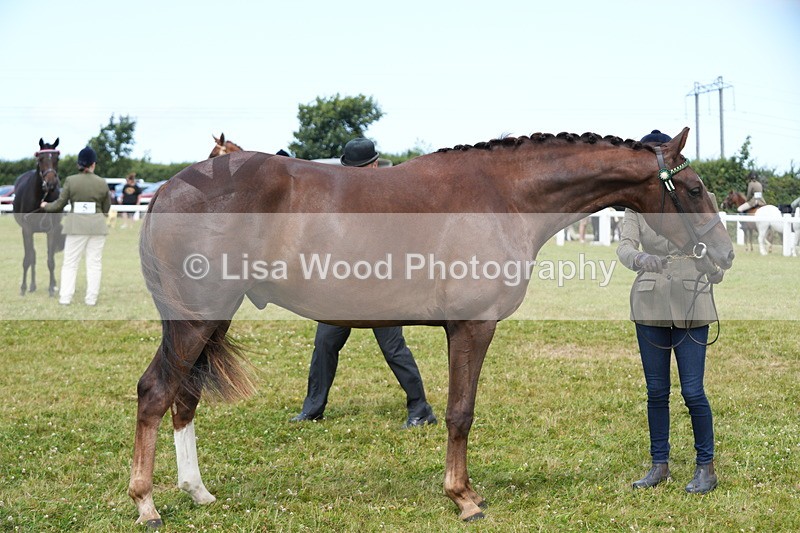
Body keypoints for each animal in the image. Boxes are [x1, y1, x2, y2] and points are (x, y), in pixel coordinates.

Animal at [12, 138, 65, 296]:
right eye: (40, 159)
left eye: (57, 158)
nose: (51, 183)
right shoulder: (26, 230)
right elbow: (28, 259)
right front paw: (23, 287)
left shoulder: (52, 231)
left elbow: (50, 260)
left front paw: (51, 288)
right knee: (32, 256)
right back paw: (31, 285)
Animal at [129, 127, 734, 527]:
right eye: (695, 187)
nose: (725, 254)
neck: (504, 196)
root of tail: (170, 188)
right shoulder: (471, 327)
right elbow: (460, 413)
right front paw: (463, 498)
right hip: (196, 319)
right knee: (156, 392)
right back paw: (147, 504)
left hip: (210, 319)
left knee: (184, 398)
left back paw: (198, 493)